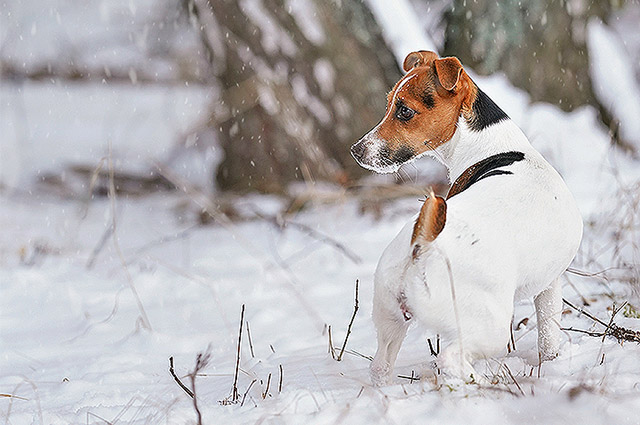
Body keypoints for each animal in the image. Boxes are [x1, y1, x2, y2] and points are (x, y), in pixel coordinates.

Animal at [350, 50, 584, 384]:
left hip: (389, 319)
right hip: (488, 325)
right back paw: (485, 381)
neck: (493, 147)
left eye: (403, 110)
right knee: (451, 358)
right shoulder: (550, 285)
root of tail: (422, 246)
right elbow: (549, 337)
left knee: (380, 366)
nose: (356, 150)